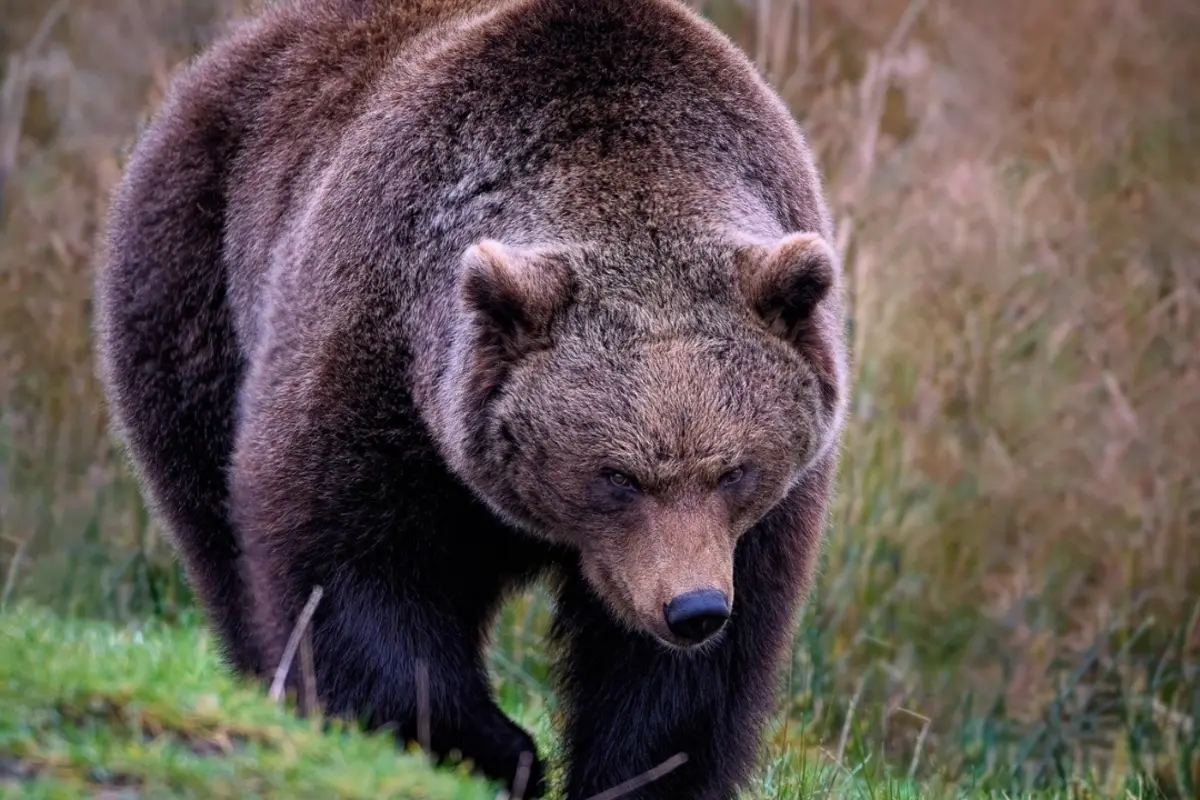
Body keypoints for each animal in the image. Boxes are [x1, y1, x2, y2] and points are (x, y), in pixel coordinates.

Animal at [93, 0, 849, 796]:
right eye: (617, 476)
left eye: (733, 469)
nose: (693, 608)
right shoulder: (381, 366)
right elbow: (349, 566)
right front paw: (495, 748)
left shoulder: (755, 523)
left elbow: (686, 679)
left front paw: (638, 772)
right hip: (193, 288)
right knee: (217, 530)